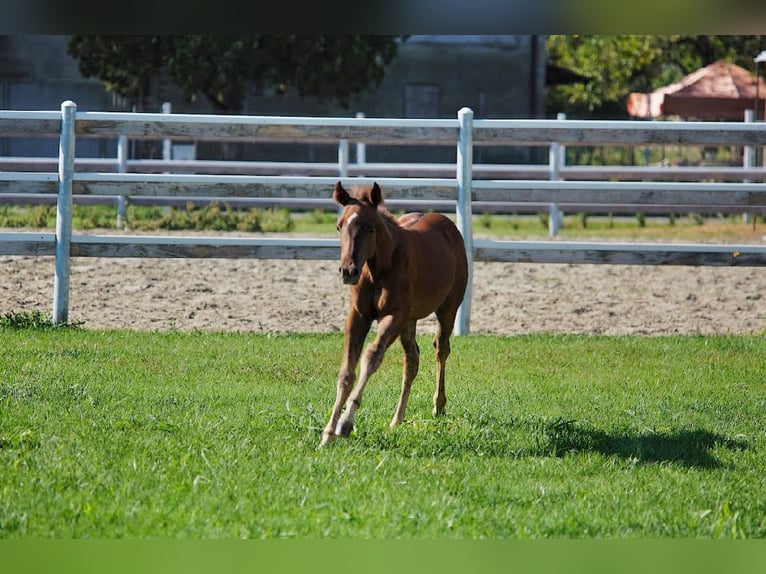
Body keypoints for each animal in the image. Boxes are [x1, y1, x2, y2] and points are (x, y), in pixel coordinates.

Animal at [320, 181, 468, 447]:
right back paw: (397, 418)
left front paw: (345, 423)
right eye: (339, 226)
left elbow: (371, 356)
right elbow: (346, 371)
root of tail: (449, 226)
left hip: (447, 309)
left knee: (441, 349)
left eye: (370, 228)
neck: (378, 268)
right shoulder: (358, 316)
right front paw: (328, 433)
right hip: (409, 321)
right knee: (412, 360)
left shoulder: (394, 316)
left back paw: (438, 405)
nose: (348, 271)